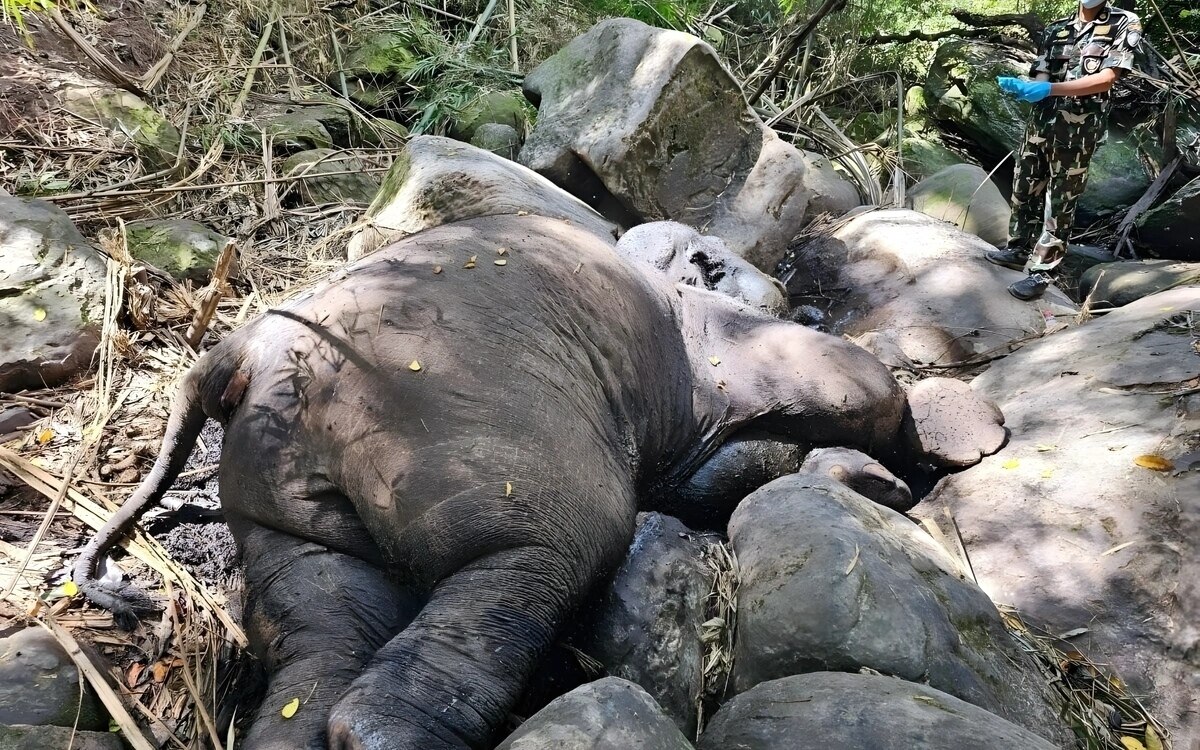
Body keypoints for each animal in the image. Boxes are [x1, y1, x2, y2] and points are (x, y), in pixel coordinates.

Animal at [75, 213, 902, 744]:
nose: (802, 297)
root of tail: (241, 351)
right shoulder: (713, 340)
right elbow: (855, 385)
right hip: (461, 433)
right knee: (546, 548)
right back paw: (384, 733)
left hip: (276, 492)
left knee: (323, 625)